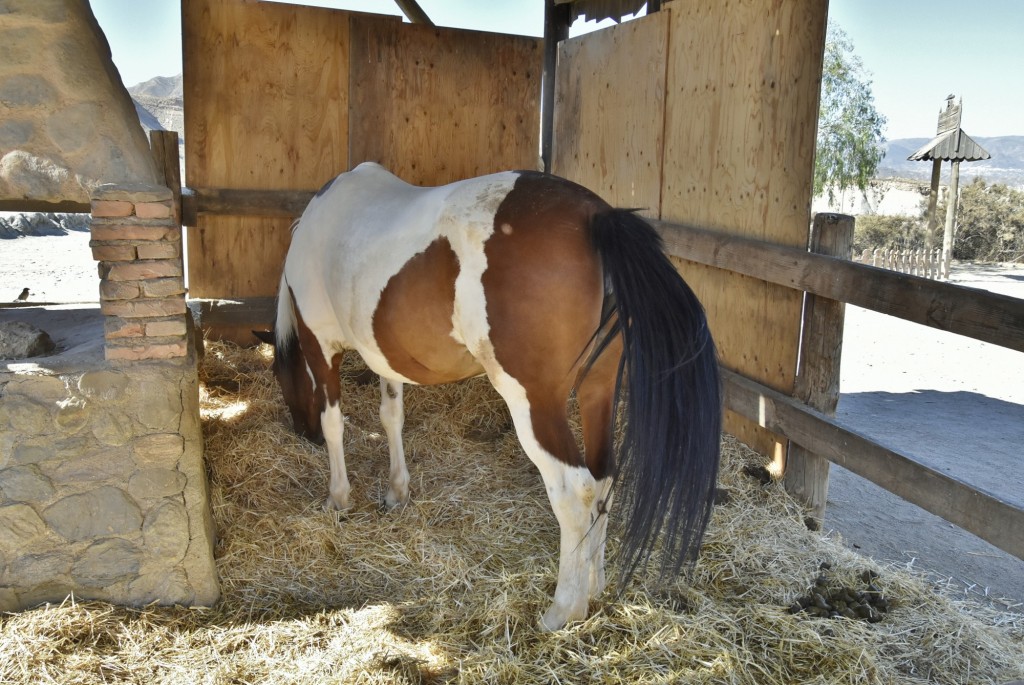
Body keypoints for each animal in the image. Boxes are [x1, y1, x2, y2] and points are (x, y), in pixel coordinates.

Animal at [254, 161, 720, 630]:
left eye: (280, 374)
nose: (303, 432)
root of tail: (596, 216)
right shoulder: (384, 359)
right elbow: (391, 418)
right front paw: (396, 492)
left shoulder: (319, 345)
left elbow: (336, 423)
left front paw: (338, 497)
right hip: (598, 391)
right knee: (604, 479)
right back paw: (594, 587)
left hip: (534, 405)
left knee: (576, 492)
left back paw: (563, 610)